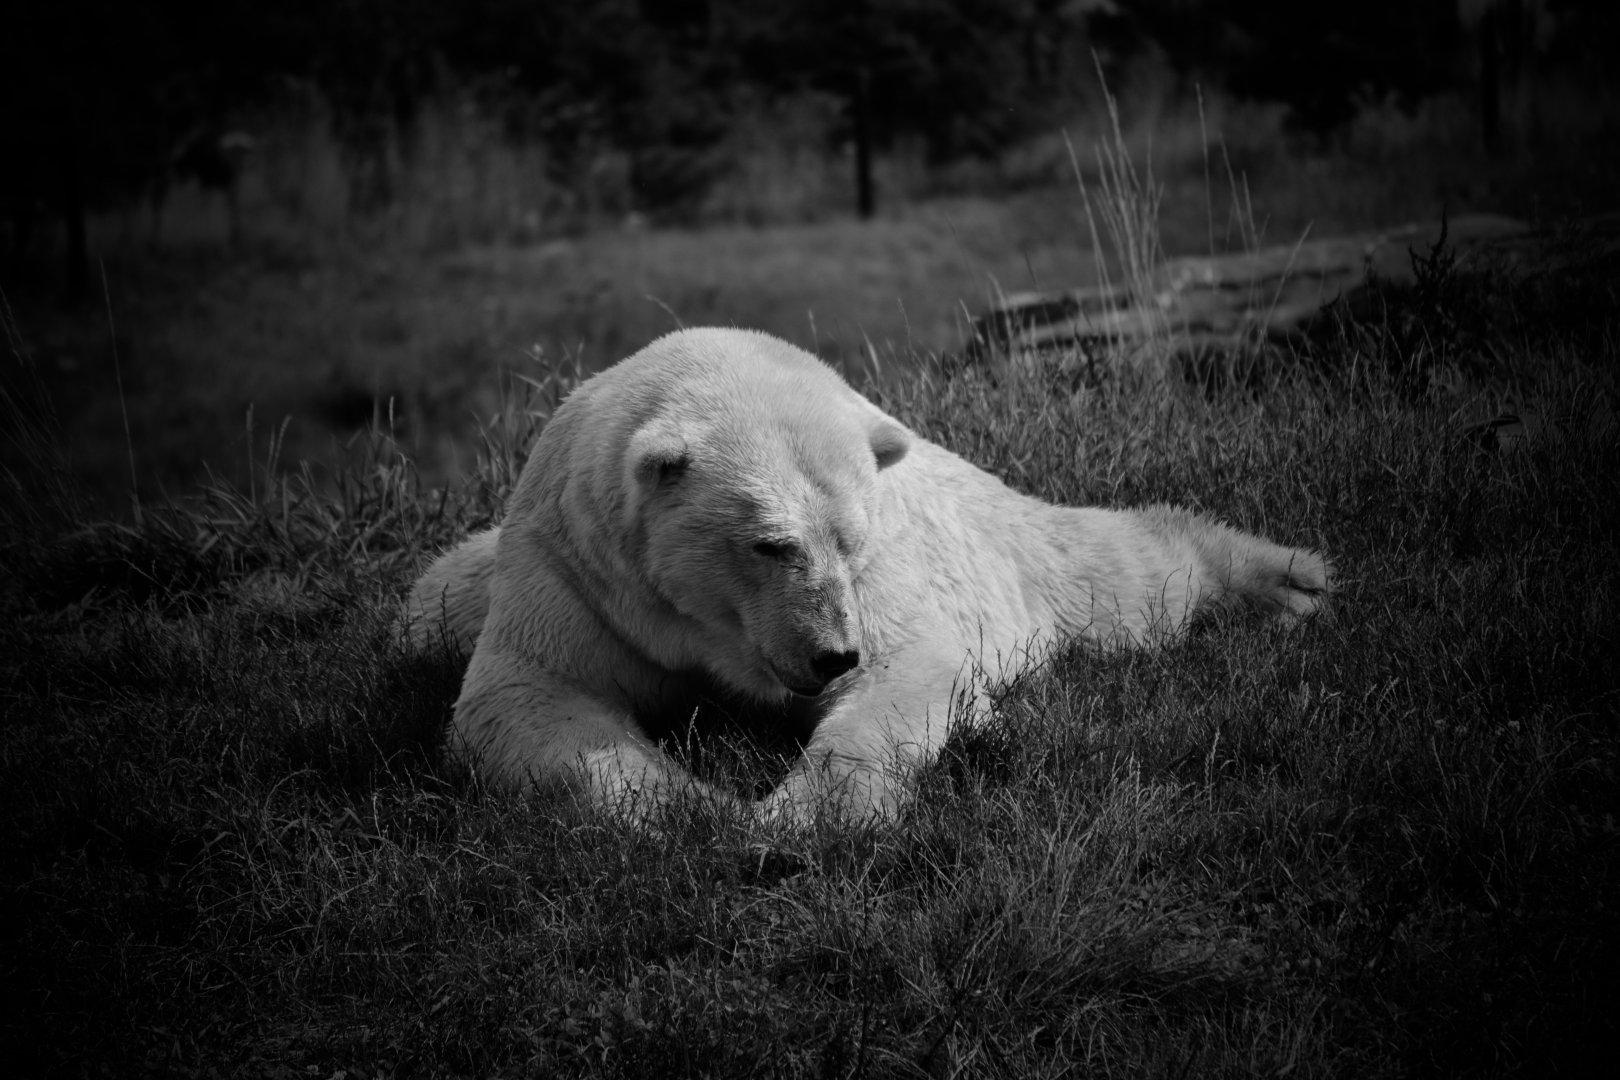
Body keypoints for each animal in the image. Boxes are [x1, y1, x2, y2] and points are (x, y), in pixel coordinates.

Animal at [406, 327, 1331, 821]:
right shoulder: (579, 568)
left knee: (1122, 575)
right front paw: (697, 807)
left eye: (849, 539)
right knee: (428, 604)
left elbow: (907, 668)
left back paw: (1289, 580)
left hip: (1009, 548)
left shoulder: (885, 574)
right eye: (770, 544)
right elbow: (526, 694)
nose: (829, 657)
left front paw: (792, 821)